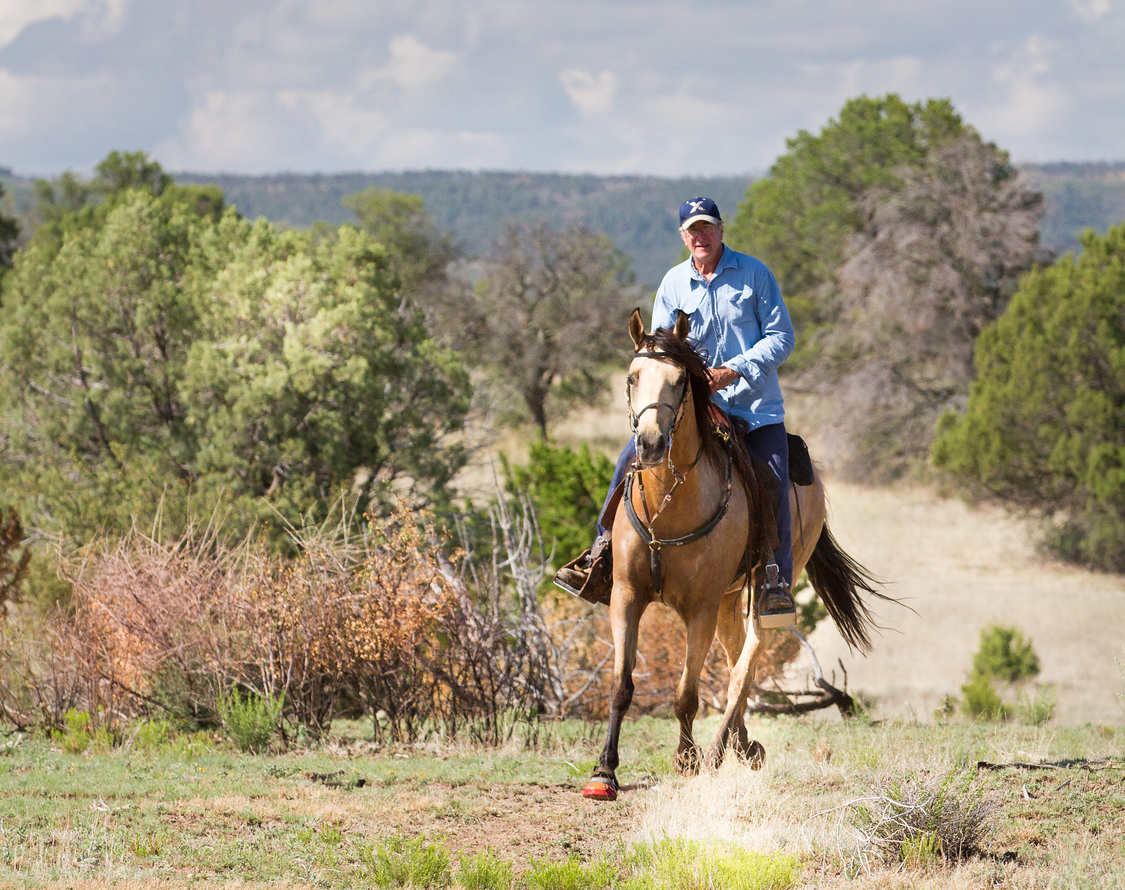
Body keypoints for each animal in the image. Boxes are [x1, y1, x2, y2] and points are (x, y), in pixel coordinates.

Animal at [580, 310, 886, 801]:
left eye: (680, 380)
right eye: (632, 377)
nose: (650, 445)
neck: (669, 505)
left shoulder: (699, 609)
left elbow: (686, 693)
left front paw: (686, 760)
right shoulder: (625, 597)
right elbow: (621, 686)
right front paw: (604, 772)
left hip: (765, 587)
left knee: (747, 661)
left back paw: (720, 750)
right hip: (728, 598)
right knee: (735, 655)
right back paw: (743, 744)